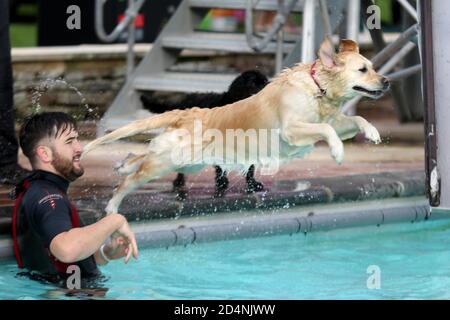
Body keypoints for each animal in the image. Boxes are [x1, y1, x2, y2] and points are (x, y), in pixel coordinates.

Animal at [140, 70, 268, 198]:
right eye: (253, 83)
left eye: (265, 82)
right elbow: (220, 168)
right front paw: (221, 185)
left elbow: (250, 168)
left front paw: (252, 184)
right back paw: (179, 182)